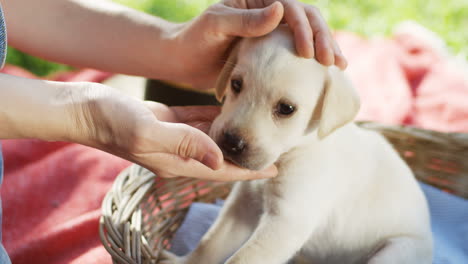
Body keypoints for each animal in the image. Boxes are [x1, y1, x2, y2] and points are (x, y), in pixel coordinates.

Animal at [163, 25, 434, 264]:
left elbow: (242, 258)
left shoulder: (286, 222)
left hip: (394, 251)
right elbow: (210, 243)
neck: (293, 152)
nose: (230, 143)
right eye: (236, 84)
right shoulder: (241, 205)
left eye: (286, 109)